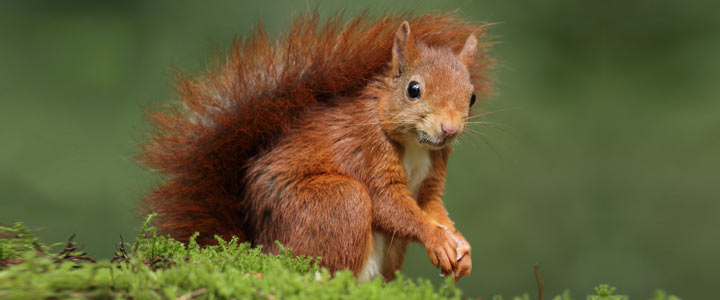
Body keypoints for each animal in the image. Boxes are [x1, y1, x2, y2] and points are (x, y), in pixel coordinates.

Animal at [139, 11, 492, 282]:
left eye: (472, 97)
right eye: (413, 89)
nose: (449, 129)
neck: (415, 146)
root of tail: (261, 246)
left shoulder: (434, 169)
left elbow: (431, 206)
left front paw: (460, 245)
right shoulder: (368, 151)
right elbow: (388, 204)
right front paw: (438, 239)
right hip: (336, 203)